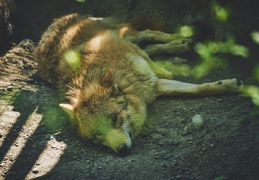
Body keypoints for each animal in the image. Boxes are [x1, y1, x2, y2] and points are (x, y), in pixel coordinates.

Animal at [35, 13, 244, 155]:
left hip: (127, 34)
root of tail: (55, 22)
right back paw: (179, 45)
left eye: (114, 119)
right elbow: (196, 89)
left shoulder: (145, 75)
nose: (121, 149)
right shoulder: (152, 88)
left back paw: (180, 41)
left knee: (148, 34)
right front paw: (228, 85)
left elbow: (162, 71)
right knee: (150, 44)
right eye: (97, 135)